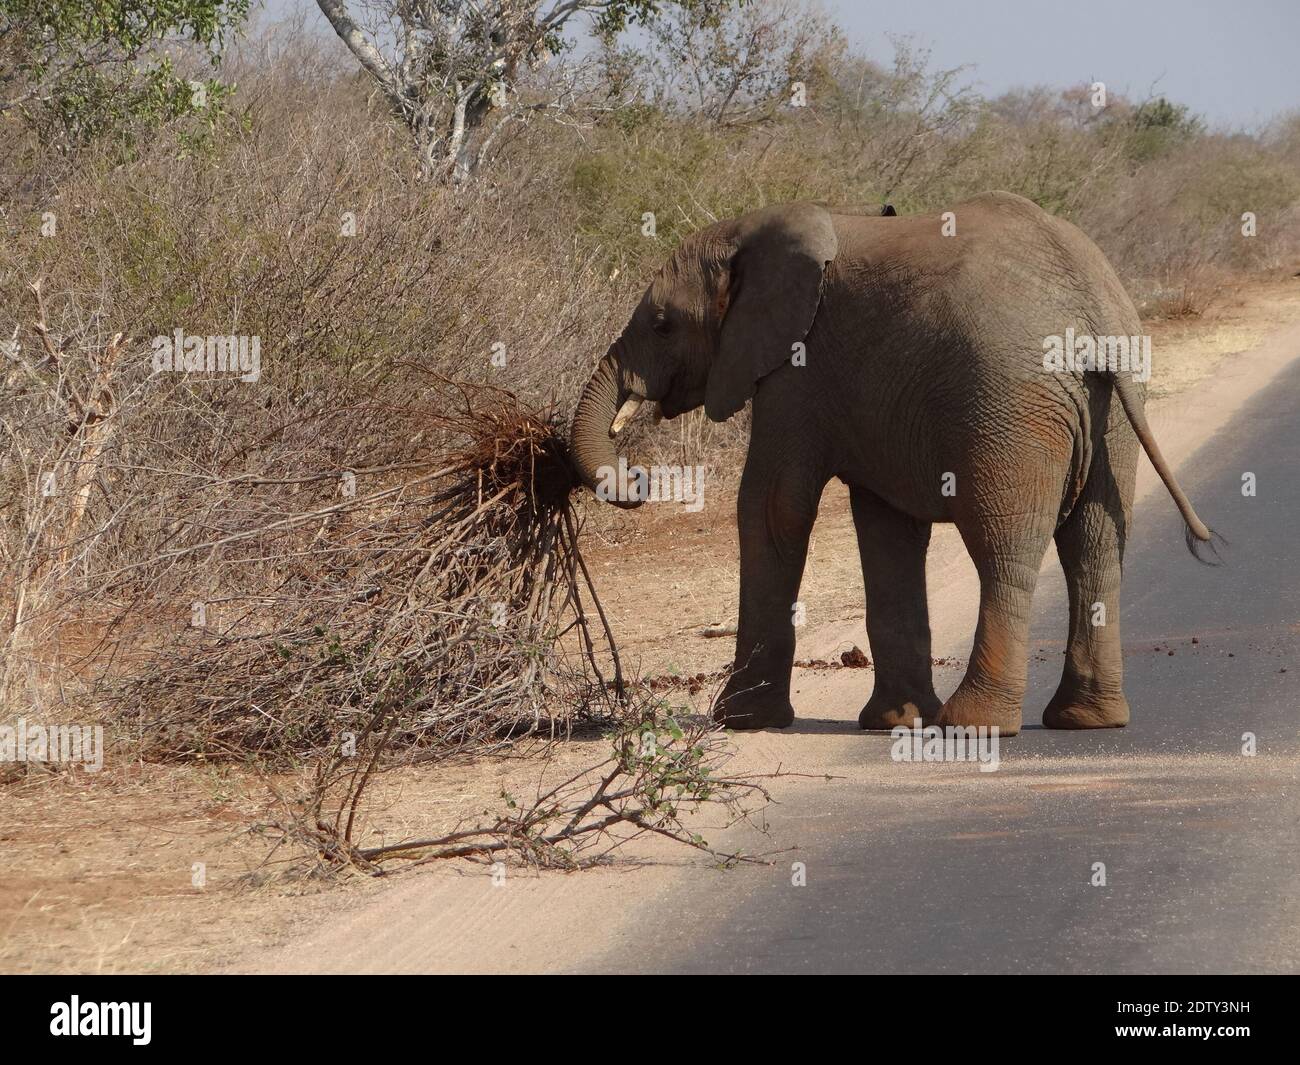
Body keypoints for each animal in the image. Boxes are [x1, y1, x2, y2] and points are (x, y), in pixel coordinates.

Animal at [564, 191, 1211, 738]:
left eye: (662, 324)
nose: (639, 481)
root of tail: (1092, 304)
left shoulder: (798, 371)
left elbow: (774, 507)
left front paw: (740, 721)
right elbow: (886, 531)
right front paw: (895, 723)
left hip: (1012, 407)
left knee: (1004, 550)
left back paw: (974, 725)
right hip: (1116, 408)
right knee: (1094, 548)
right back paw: (1085, 721)